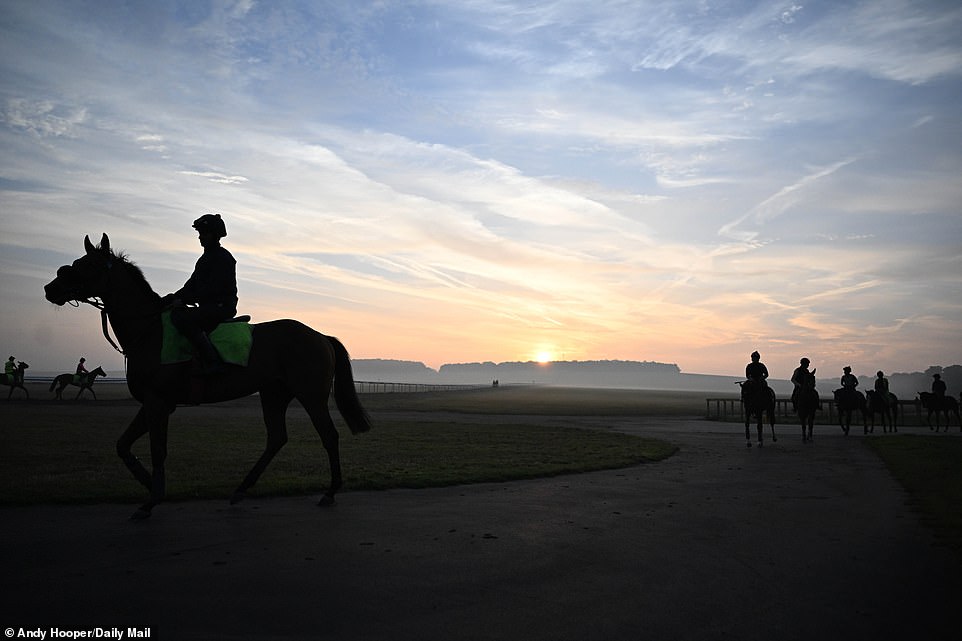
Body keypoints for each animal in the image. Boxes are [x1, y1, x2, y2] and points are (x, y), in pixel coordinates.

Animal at [44, 232, 372, 516]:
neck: (148, 331)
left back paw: (330, 492)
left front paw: (151, 500)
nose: (51, 288)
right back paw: (241, 489)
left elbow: (157, 450)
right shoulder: (153, 403)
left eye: (88, 265)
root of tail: (320, 336)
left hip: (311, 396)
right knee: (277, 438)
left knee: (328, 435)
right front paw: (151, 486)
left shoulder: (158, 403)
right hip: (273, 394)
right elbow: (123, 445)